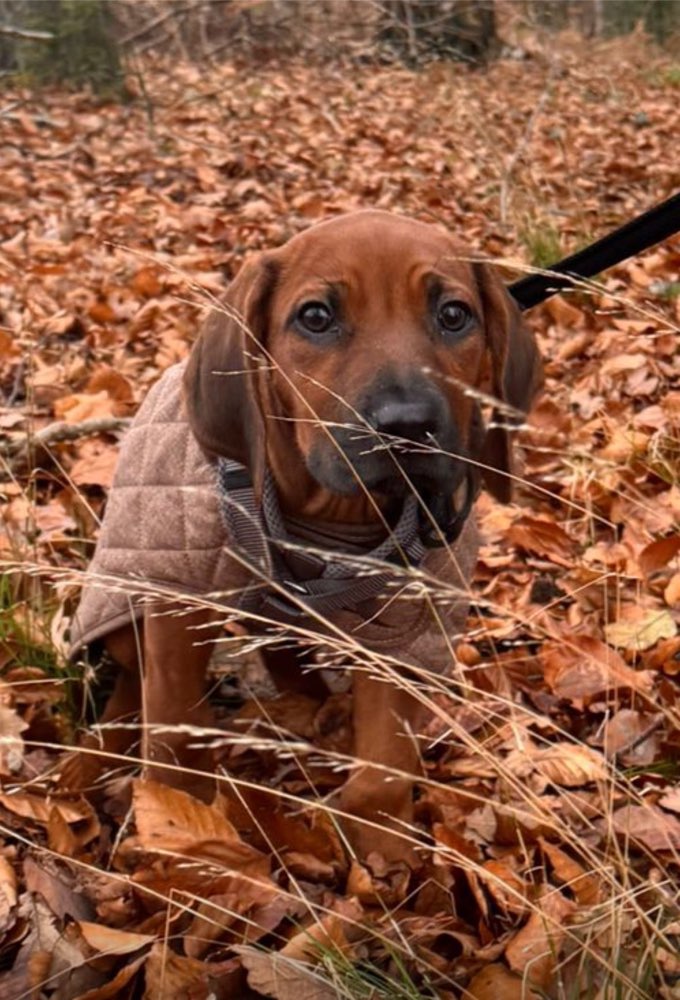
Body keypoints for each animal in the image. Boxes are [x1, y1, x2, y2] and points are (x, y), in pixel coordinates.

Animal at [66, 209, 540, 860]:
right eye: (315, 317)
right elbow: (170, 730)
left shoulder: (406, 632)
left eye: (453, 315)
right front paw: (175, 824)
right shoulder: (175, 603)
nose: (407, 428)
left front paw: (383, 854)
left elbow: (384, 765)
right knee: (131, 684)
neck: (332, 522)